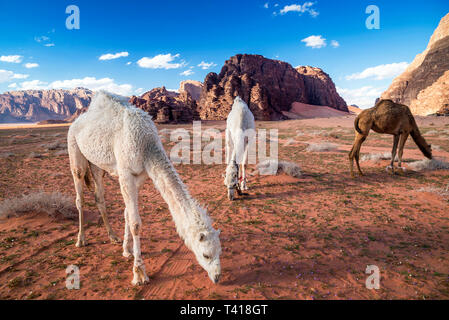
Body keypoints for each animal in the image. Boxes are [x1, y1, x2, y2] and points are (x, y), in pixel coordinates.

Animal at [67, 92, 221, 284]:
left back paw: (113, 236)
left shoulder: (140, 175)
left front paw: (126, 250)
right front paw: (139, 272)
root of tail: (76, 122)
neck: (147, 145)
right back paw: (81, 240)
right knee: (79, 194)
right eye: (206, 254)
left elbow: (127, 213)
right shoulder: (125, 174)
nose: (217, 277)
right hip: (74, 150)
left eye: (220, 251)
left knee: (99, 196)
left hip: (96, 165)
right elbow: (135, 223)